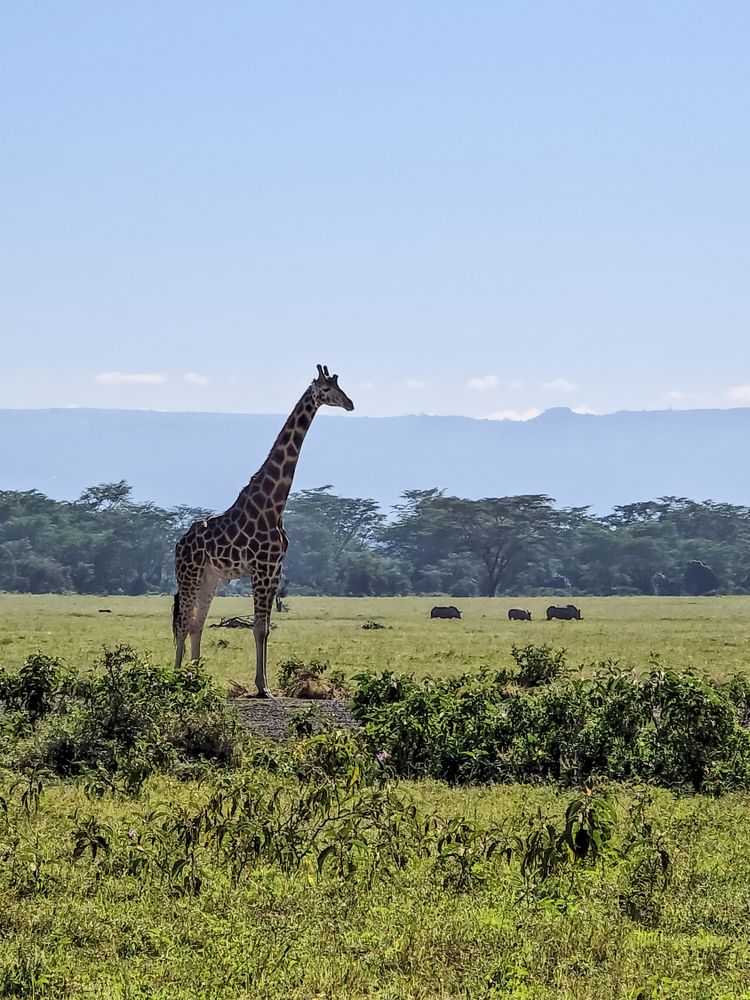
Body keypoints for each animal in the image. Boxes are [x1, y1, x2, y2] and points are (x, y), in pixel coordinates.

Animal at [172, 365, 355, 696]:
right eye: (326, 390)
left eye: (340, 386)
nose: (350, 404)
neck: (274, 504)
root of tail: (179, 544)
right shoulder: (261, 569)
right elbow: (258, 628)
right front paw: (262, 687)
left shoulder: (275, 570)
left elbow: (266, 628)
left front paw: (265, 685)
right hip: (188, 575)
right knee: (182, 622)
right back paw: (178, 675)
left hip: (209, 579)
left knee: (195, 624)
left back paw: (196, 678)